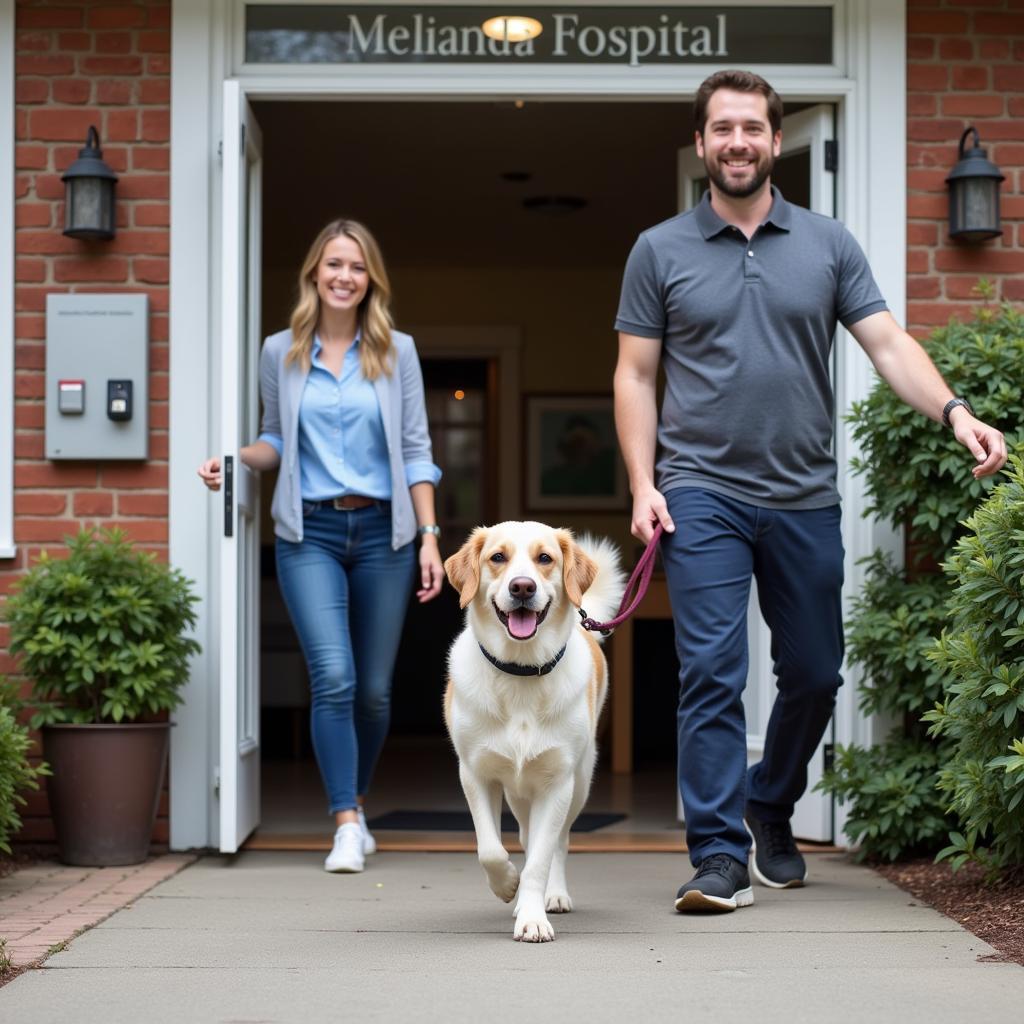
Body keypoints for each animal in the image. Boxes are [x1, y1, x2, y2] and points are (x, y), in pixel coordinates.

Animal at [442, 524, 622, 937]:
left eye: (545, 558)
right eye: (498, 557)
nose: (522, 587)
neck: (520, 672)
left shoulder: (557, 784)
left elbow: (541, 857)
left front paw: (533, 918)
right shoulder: (474, 773)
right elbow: (490, 849)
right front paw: (508, 884)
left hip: (578, 783)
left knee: (557, 842)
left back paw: (551, 896)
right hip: (519, 793)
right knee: (525, 836)